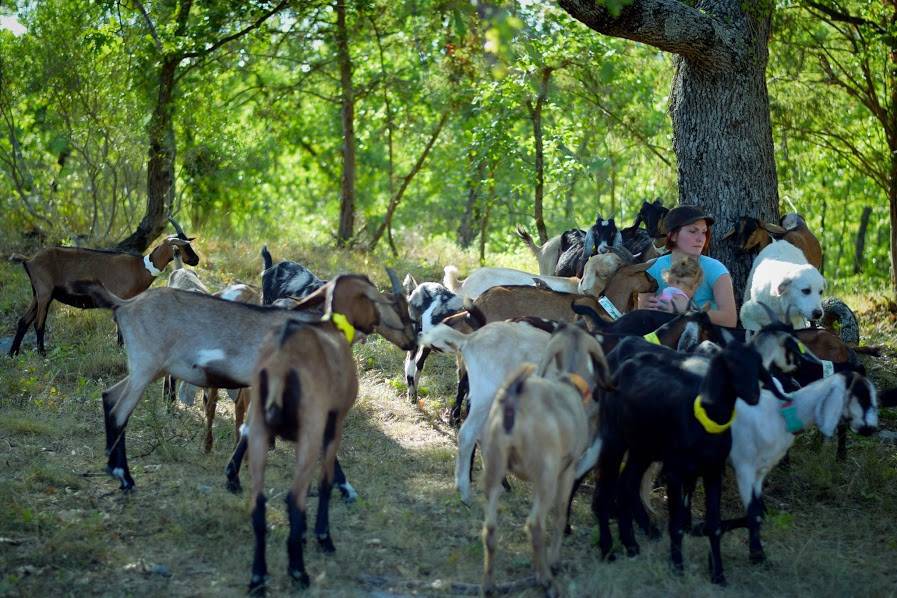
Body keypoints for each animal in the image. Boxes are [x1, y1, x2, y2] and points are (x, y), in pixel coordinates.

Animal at [69, 272, 412, 492]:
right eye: (390, 305)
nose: (411, 339)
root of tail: (124, 305)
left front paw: (234, 476)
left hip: (145, 369)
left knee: (109, 396)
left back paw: (114, 469)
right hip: (145, 366)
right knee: (120, 410)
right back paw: (125, 478)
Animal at [484, 326, 608, 596]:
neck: (568, 383)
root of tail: (514, 403)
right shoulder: (567, 469)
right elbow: (560, 515)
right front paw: (553, 562)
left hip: (496, 468)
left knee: (490, 529)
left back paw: (489, 585)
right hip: (546, 475)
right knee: (535, 525)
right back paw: (547, 580)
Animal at [596, 342, 764, 584]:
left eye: (758, 363)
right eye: (731, 364)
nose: (753, 395)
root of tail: (624, 365)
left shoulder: (713, 471)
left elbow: (714, 526)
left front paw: (718, 575)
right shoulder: (674, 472)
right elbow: (675, 525)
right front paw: (676, 568)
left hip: (642, 448)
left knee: (626, 484)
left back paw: (631, 545)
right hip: (614, 439)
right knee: (605, 491)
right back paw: (607, 550)